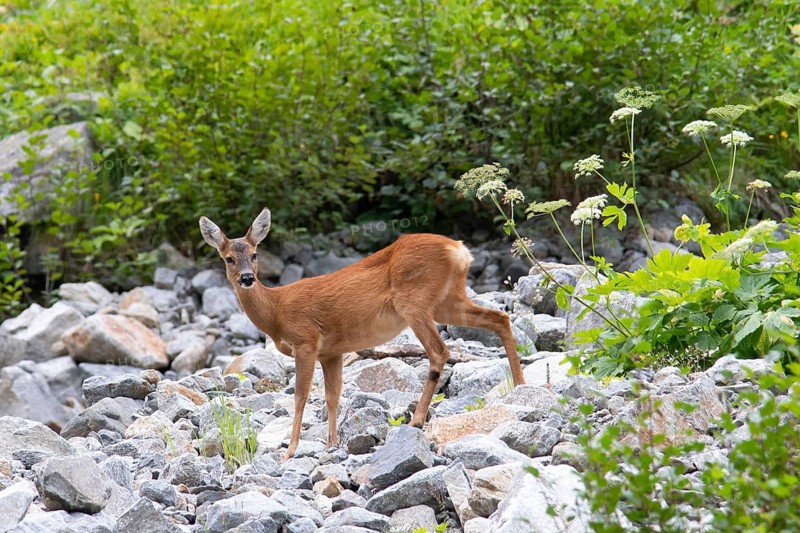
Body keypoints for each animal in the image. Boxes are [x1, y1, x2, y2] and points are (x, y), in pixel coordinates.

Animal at [199, 208, 526, 459]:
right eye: (228, 258)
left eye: (255, 255)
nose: (247, 278)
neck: (276, 312)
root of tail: (459, 250)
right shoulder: (331, 351)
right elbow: (332, 396)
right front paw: (331, 444)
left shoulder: (306, 340)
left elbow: (301, 396)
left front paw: (290, 451)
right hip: (447, 301)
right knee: (500, 318)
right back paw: (521, 387)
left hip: (414, 300)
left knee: (439, 351)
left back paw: (416, 420)